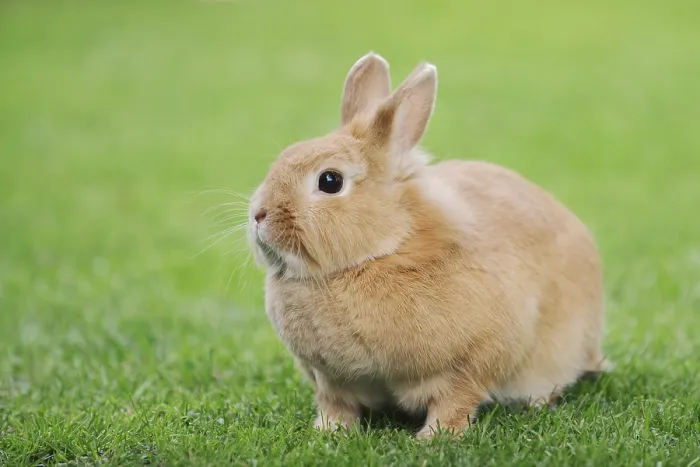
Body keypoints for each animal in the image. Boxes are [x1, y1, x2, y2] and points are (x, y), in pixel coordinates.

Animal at [247, 51, 610, 439]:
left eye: (330, 181)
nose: (259, 214)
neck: (382, 250)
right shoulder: (331, 381)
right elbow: (336, 407)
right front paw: (328, 432)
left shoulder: (469, 365)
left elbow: (454, 402)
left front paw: (434, 438)